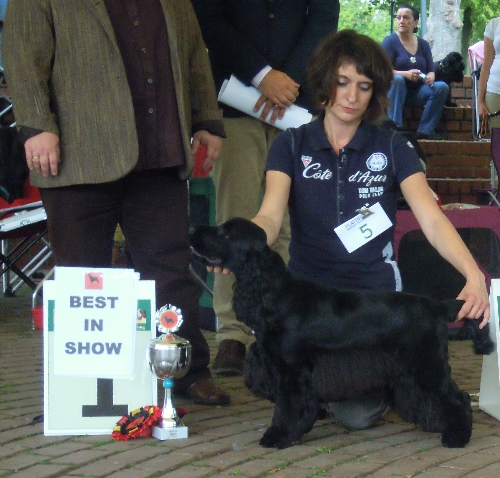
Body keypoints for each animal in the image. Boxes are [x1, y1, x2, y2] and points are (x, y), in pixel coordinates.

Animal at [190, 218, 494, 449]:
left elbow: (288, 406)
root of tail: (439, 305)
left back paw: (456, 437)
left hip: (426, 364)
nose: (193, 230)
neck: (274, 293)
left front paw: (277, 436)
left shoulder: (291, 369)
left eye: (225, 232)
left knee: (457, 398)